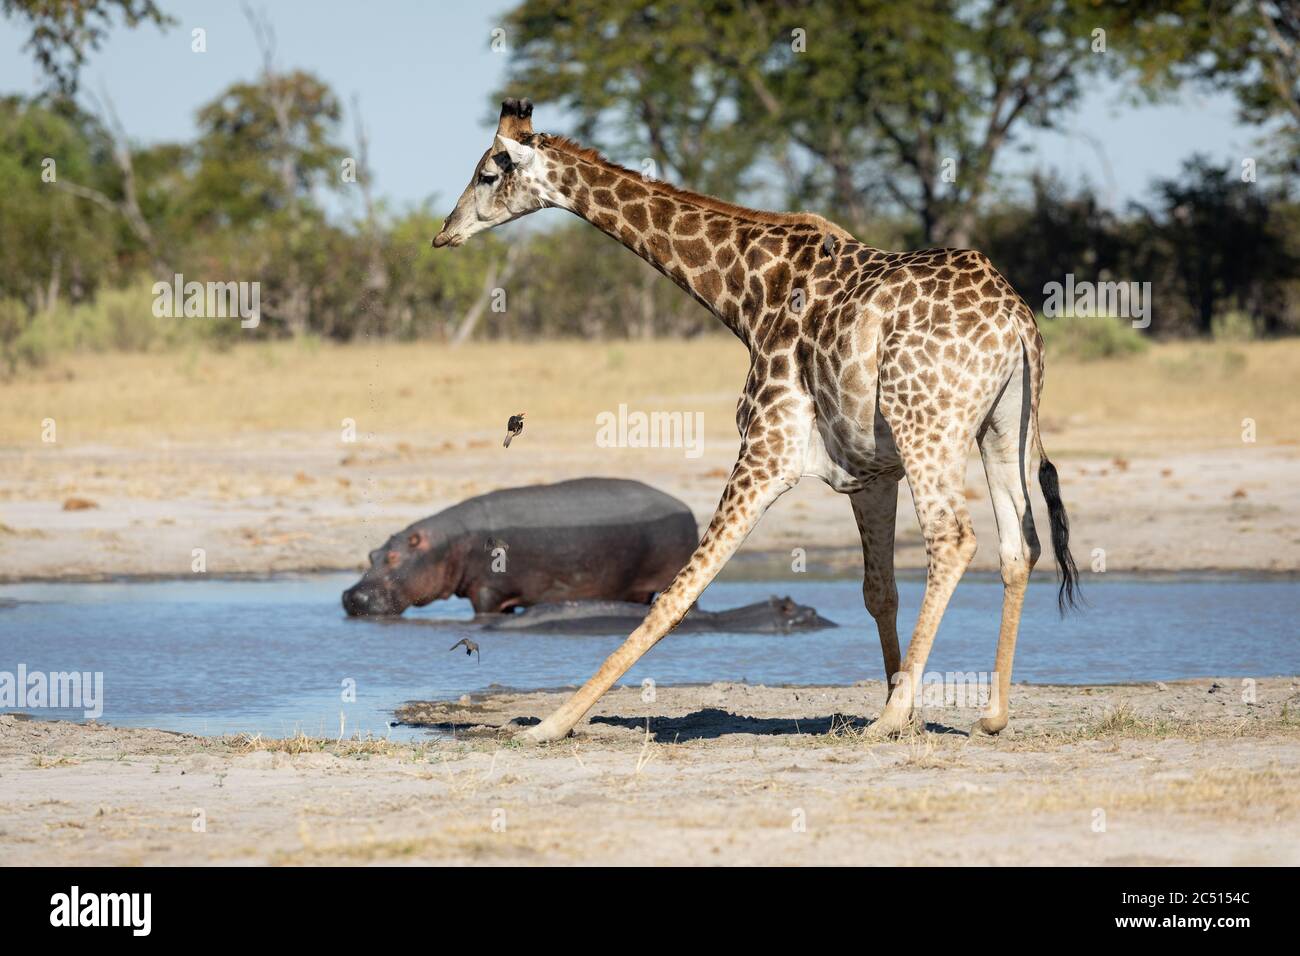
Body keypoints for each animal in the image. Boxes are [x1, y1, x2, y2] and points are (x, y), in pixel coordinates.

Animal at [340, 478, 696, 621]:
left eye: (393, 556)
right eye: (372, 554)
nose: (351, 596)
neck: (446, 543)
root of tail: (685, 506)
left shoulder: (488, 590)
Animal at [431, 100, 1081, 743]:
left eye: (487, 174)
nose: (444, 232)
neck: (746, 294)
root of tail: (1015, 320)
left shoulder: (769, 449)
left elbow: (677, 594)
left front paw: (550, 724)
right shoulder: (871, 474)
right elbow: (878, 591)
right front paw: (912, 706)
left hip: (928, 424)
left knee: (954, 538)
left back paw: (890, 719)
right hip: (1001, 429)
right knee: (1018, 545)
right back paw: (991, 714)